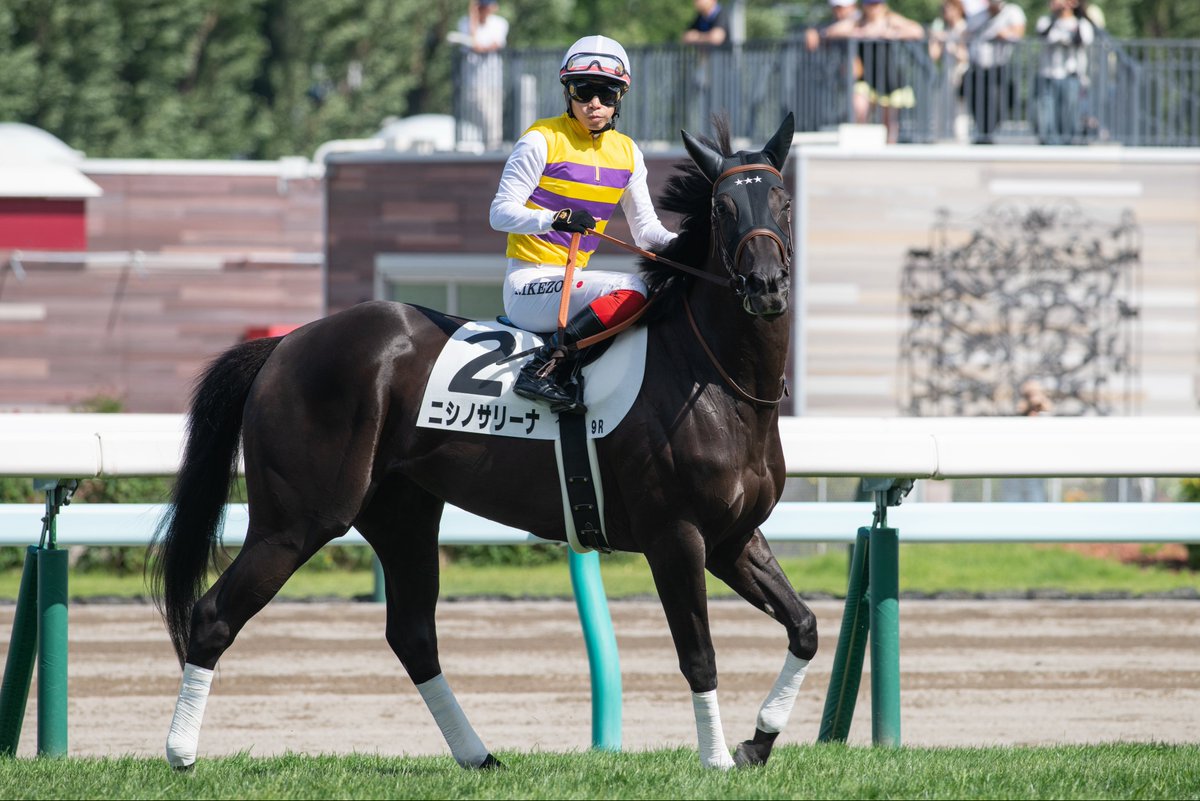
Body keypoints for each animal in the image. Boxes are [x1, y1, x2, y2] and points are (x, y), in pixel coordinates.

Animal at [150, 112, 818, 771]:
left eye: (783, 202)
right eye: (723, 208)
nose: (764, 285)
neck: (717, 381)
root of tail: (285, 343)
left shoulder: (731, 537)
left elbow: (804, 626)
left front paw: (758, 742)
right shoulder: (675, 536)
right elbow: (699, 653)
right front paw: (718, 760)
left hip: (401, 512)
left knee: (413, 635)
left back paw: (478, 755)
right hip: (297, 520)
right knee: (213, 615)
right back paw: (181, 752)